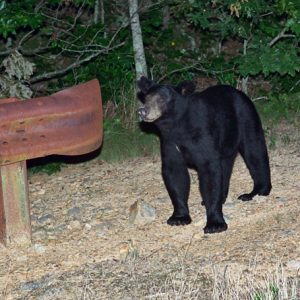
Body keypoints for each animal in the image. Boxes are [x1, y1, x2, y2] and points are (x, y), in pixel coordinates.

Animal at [138, 76, 272, 233]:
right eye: (146, 98)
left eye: (161, 99)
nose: (142, 111)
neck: (177, 127)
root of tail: (239, 92)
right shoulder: (169, 143)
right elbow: (175, 174)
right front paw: (179, 218)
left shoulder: (202, 136)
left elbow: (209, 173)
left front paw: (215, 224)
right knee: (226, 165)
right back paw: (223, 196)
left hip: (246, 118)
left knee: (254, 150)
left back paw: (255, 192)